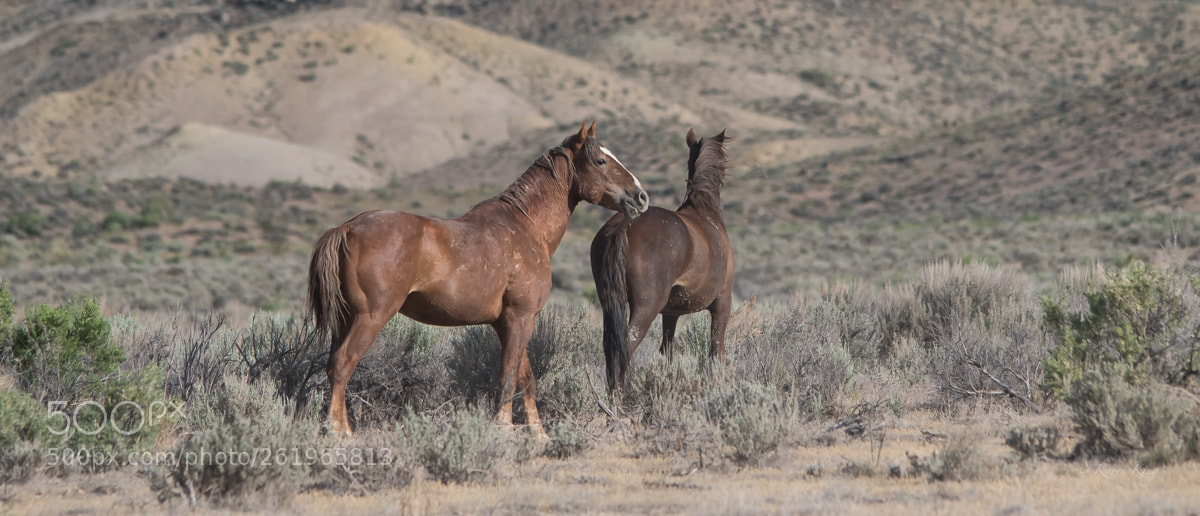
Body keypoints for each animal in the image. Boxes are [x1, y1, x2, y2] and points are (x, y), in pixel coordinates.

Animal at [309, 121, 649, 437]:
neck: (526, 226)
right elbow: (508, 376)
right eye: (600, 161)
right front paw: (504, 428)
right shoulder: (521, 319)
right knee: (343, 364)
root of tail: (347, 229)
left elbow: (526, 378)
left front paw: (539, 434)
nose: (641, 197)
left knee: (332, 364)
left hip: (346, 319)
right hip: (371, 317)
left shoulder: (508, 323)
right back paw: (340, 432)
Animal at [590, 128, 733, 393]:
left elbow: (667, 351)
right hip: (646, 307)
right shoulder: (722, 303)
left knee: (611, 350)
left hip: (610, 304)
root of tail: (623, 224)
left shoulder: (671, 313)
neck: (704, 212)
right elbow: (715, 351)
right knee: (625, 348)